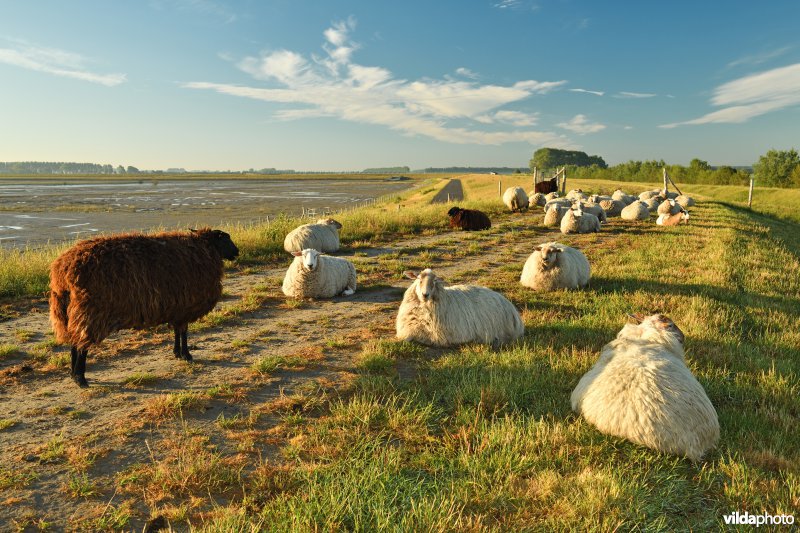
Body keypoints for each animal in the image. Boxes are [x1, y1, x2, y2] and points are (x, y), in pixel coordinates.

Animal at [47, 229, 238, 386]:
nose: (237, 252)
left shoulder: (177, 309)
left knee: (75, 342)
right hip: (89, 313)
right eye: (225, 239)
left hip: (69, 313)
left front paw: (177, 353)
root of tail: (63, 272)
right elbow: (183, 332)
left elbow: (177, 332)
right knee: (81, 346)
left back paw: (74, 375)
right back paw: (80, 378)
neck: (205, 251)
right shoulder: (185, 308)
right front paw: (186, 355)